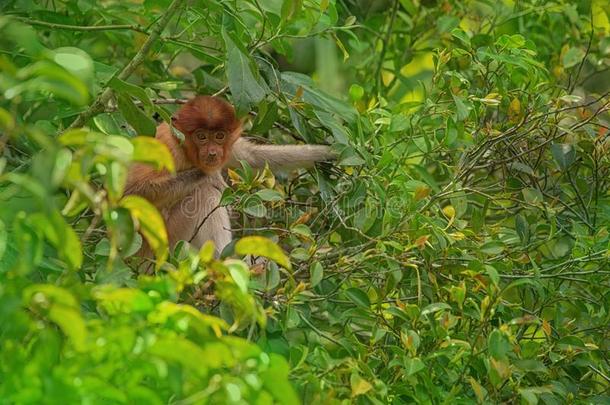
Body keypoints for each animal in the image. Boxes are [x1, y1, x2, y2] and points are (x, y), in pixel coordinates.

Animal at [124, 96, 332, 258]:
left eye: (219, 136)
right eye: (201, 137)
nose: (213, 153)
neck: (185, 149)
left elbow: (251, 156)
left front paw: (329, 153)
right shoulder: (167, 147)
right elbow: (132, 192)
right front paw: (211, 176)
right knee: (204, 194)